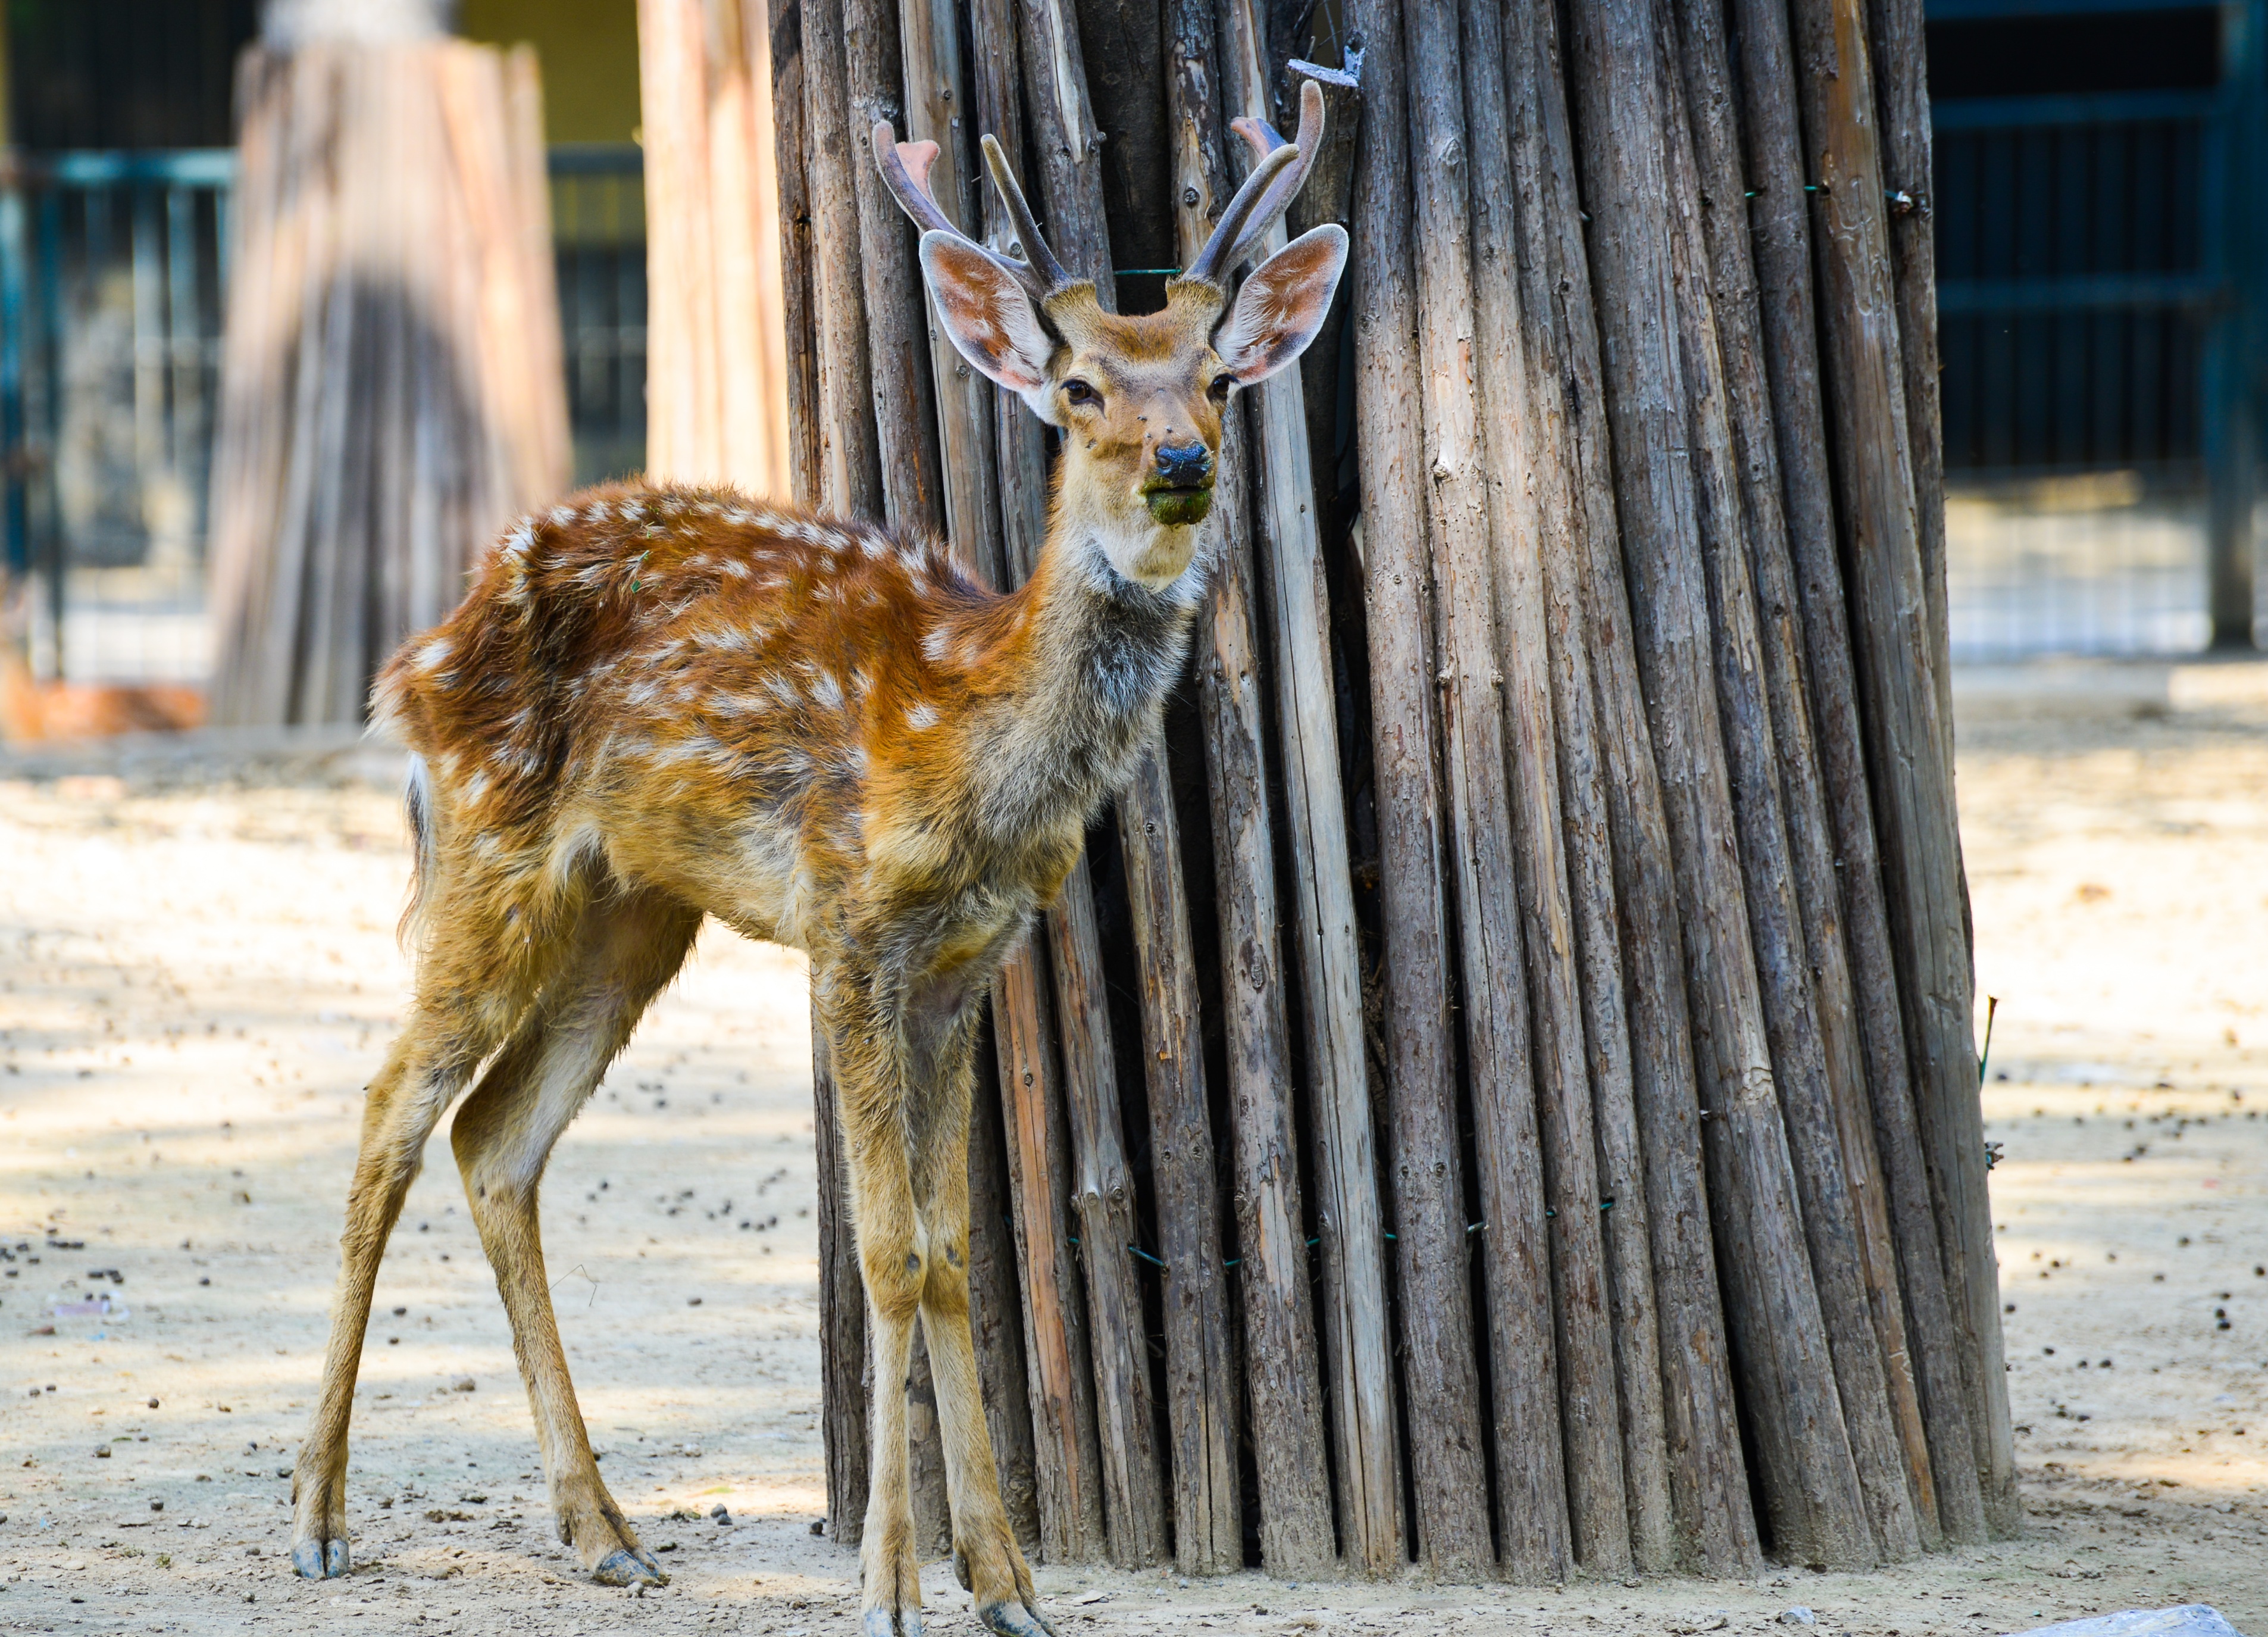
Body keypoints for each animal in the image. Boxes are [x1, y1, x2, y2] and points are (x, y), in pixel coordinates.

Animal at [290, 86, 1333, 1632]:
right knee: (388, 1117)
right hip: (488, 852)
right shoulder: (847, 924)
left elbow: (952, 1256)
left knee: (495, 1139)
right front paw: (892, 1585)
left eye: (1213, 377)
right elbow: (887, 1251)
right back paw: (317, 1515)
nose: (1181, 464)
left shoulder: (967, 962)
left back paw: (606, 1528)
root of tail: (414, 658)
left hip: (631, 915)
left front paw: (1007, 1584)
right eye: (1082, 386)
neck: (973, 744)